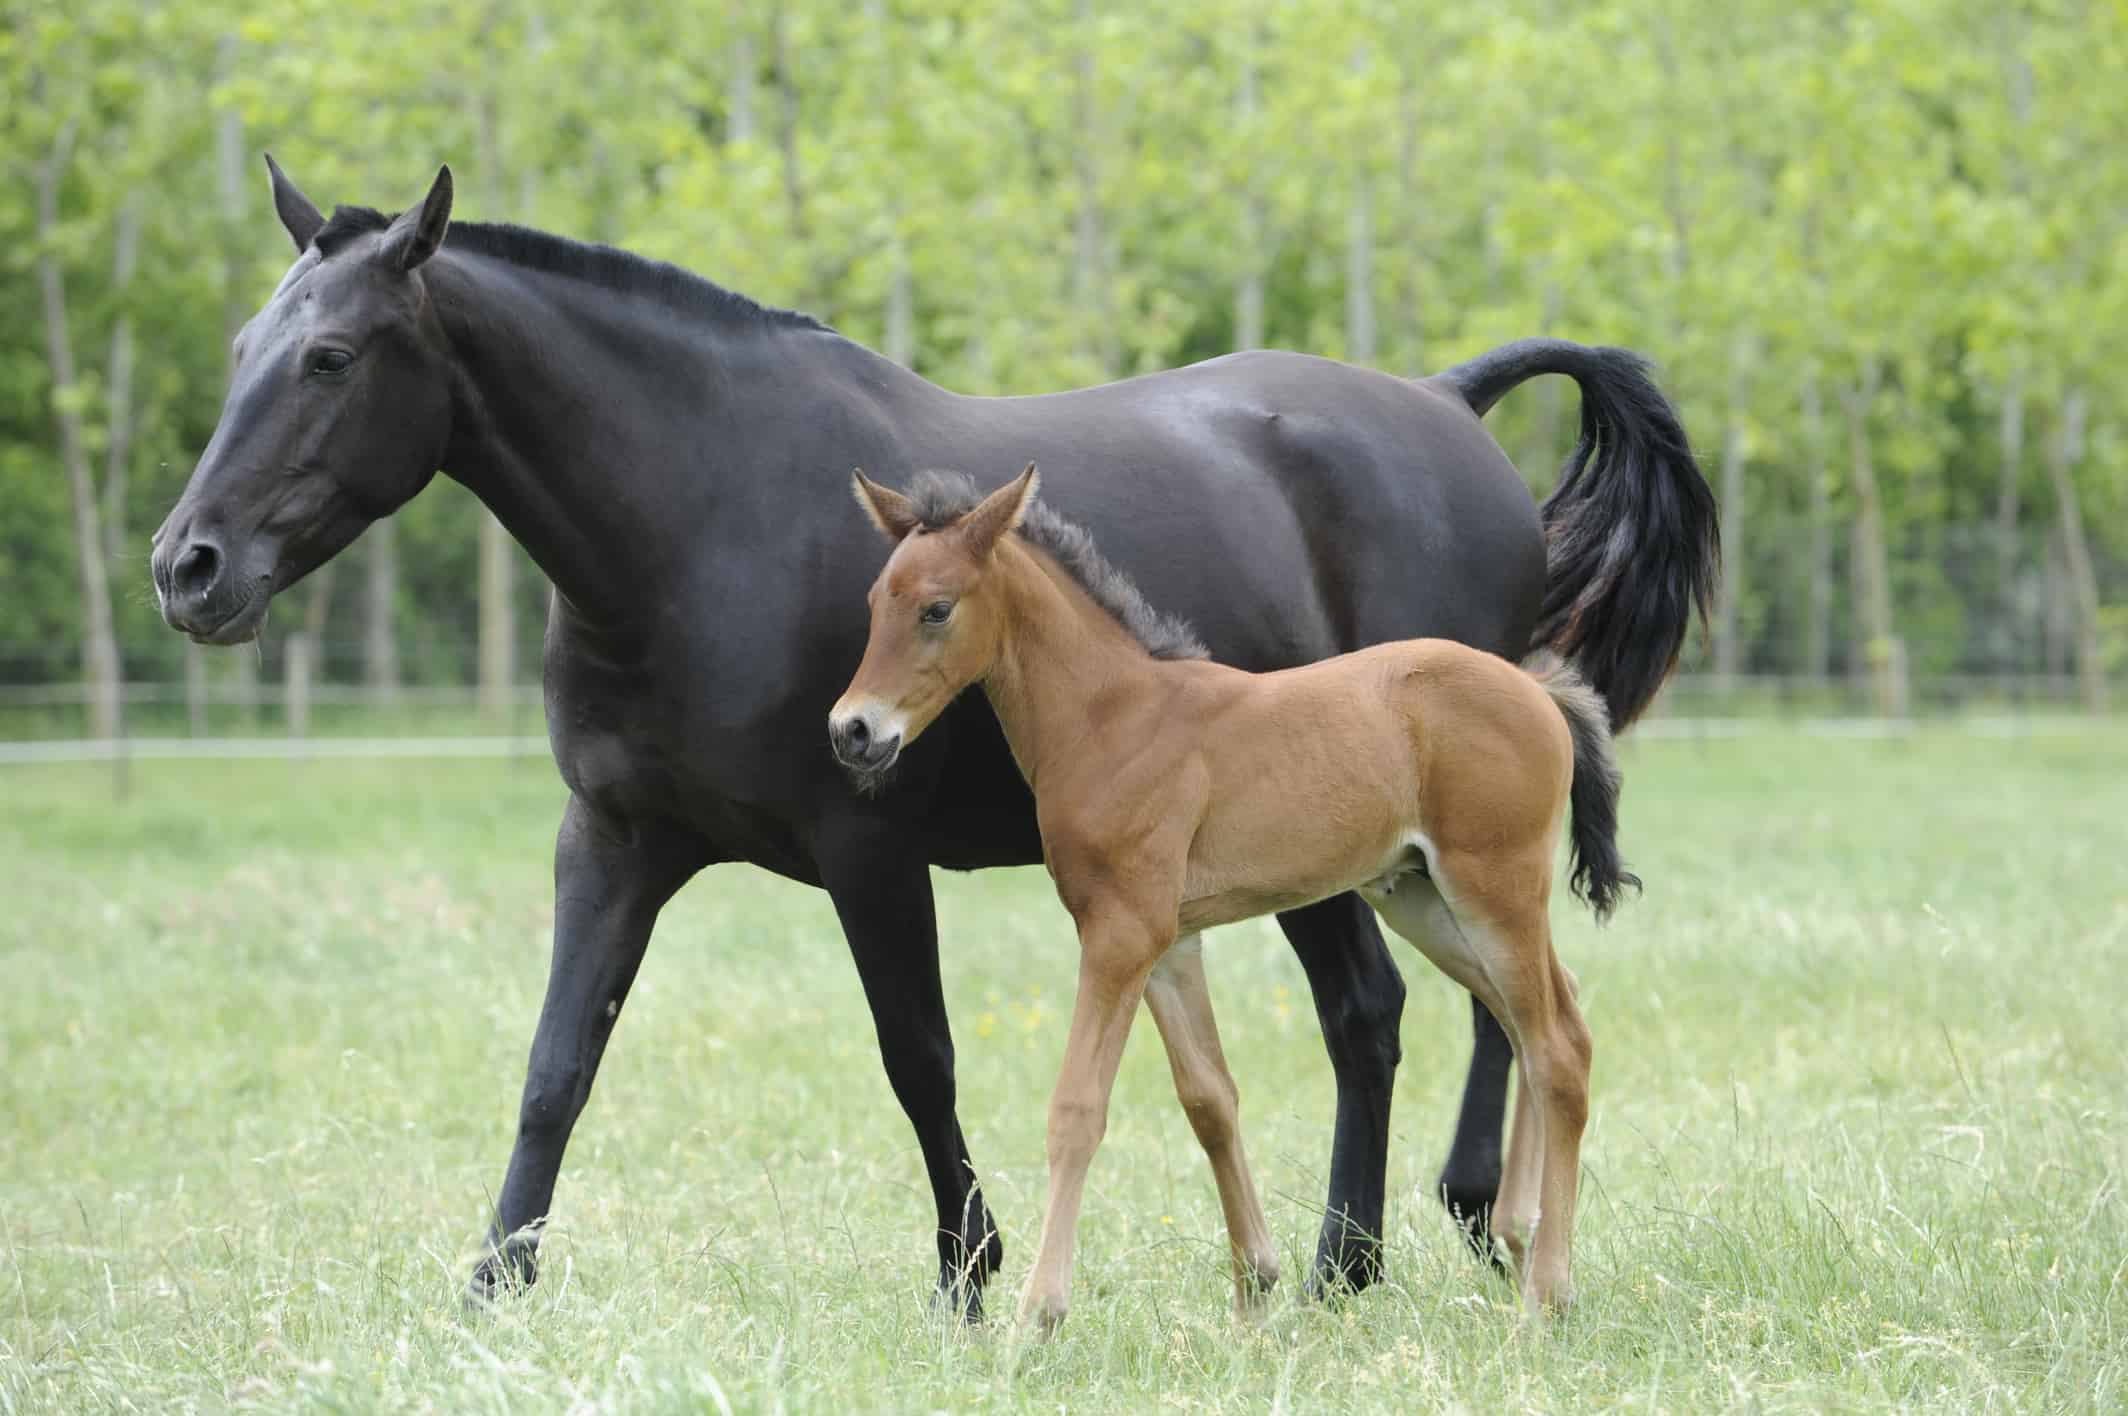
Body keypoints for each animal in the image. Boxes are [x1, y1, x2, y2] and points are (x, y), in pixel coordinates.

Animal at [825, 464, 1625, 1328]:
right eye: (875, 602)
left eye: (937, 608)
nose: (853, 731)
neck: (1113, 719)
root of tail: (1538, 690)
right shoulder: (1168, 940)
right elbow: (1210, 1098)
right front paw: (1253, 1290)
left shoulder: (1119, 934)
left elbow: (1077, 1109)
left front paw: (1038, 1314)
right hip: (1424, 901)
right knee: (1545, 1019)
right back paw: (1520, 1235)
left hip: (1494, 889)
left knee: (1557, 1048)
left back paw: (1545, 1293)